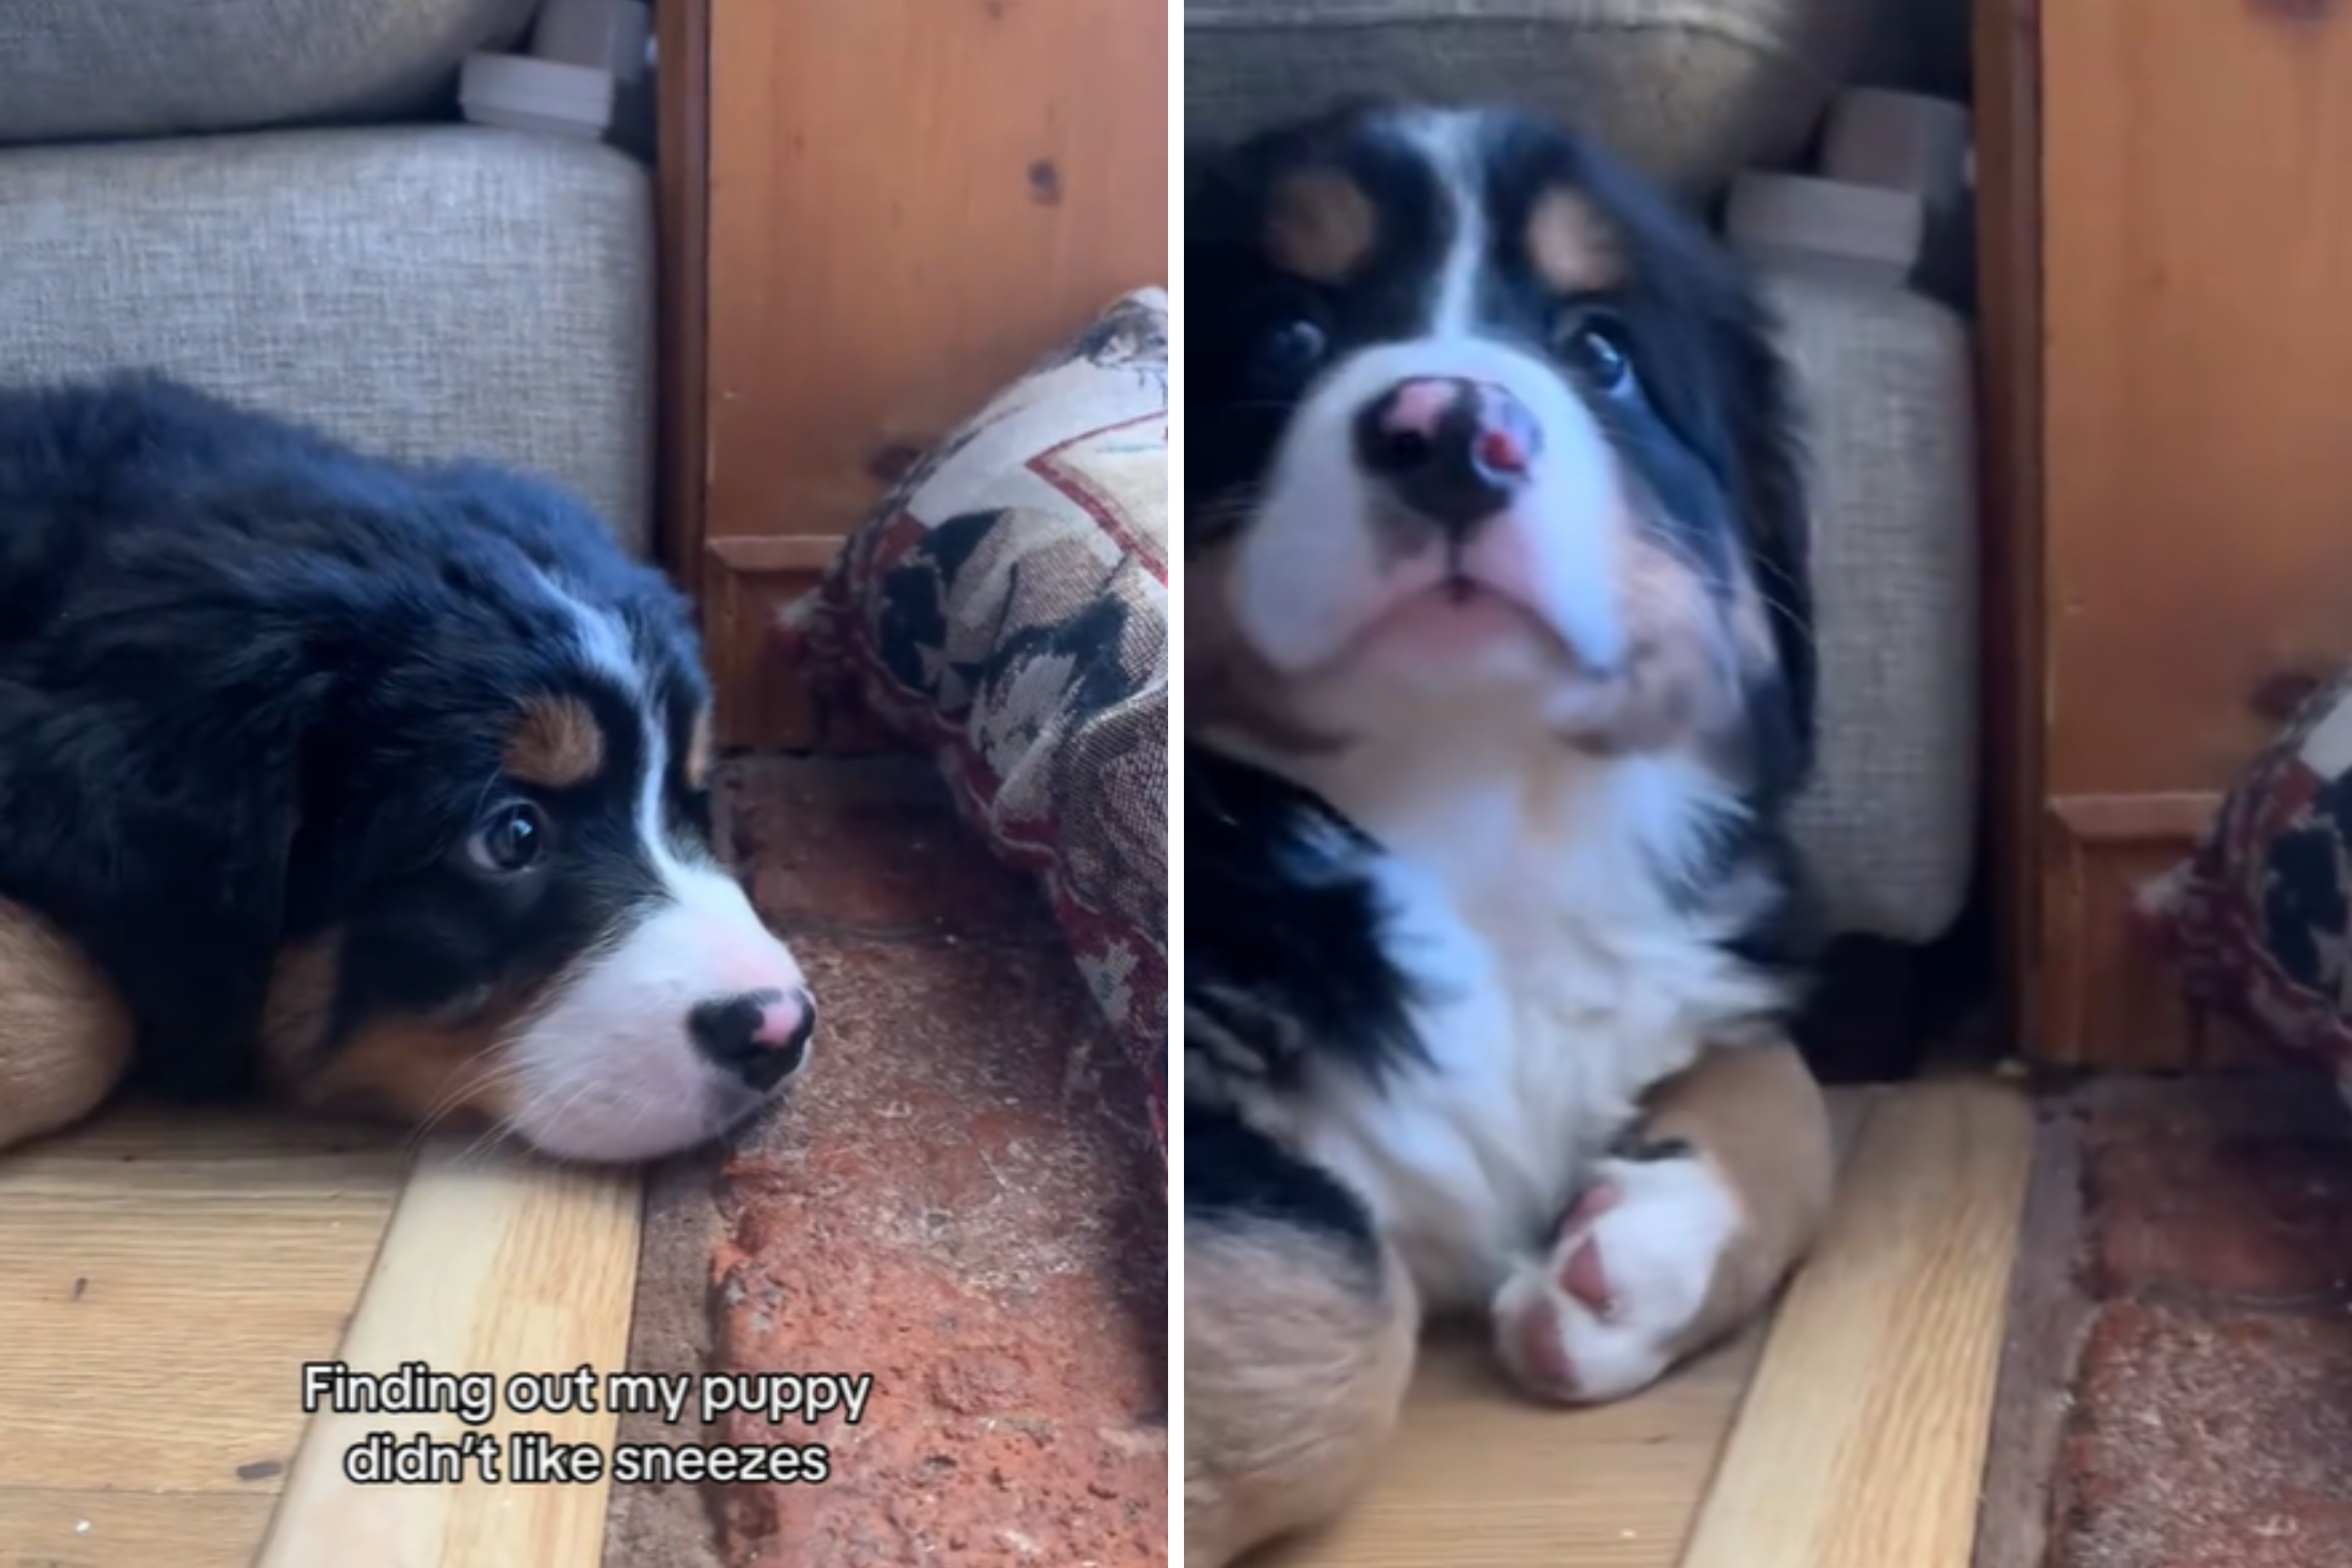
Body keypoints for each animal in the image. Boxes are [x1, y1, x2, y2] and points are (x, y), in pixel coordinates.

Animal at [1195, 103, 1835, 1561]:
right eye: (1288, 335)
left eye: (1599, 352)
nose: (1449, 428)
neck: (1474, 810)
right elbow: (1329, 1282)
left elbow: (1796, 1097)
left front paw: (1629, 1258)